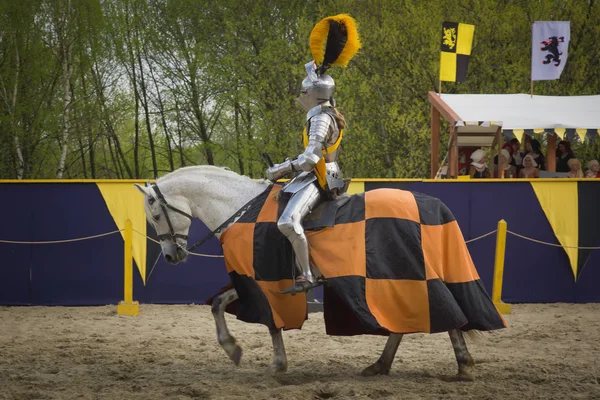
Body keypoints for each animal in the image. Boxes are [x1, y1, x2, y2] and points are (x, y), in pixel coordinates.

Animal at [135, 166, 478, 382]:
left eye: (155, 215)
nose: (171, 256)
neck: (240, 210)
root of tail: (428, 204)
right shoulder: (251, 280)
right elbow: (218, 304)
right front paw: (233, 349)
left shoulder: (262, 280)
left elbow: (271, 322)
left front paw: (276, 364)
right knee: (403, 323)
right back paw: (380, 365)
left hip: (403, 275)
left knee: (442, 313)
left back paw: (462, 366)